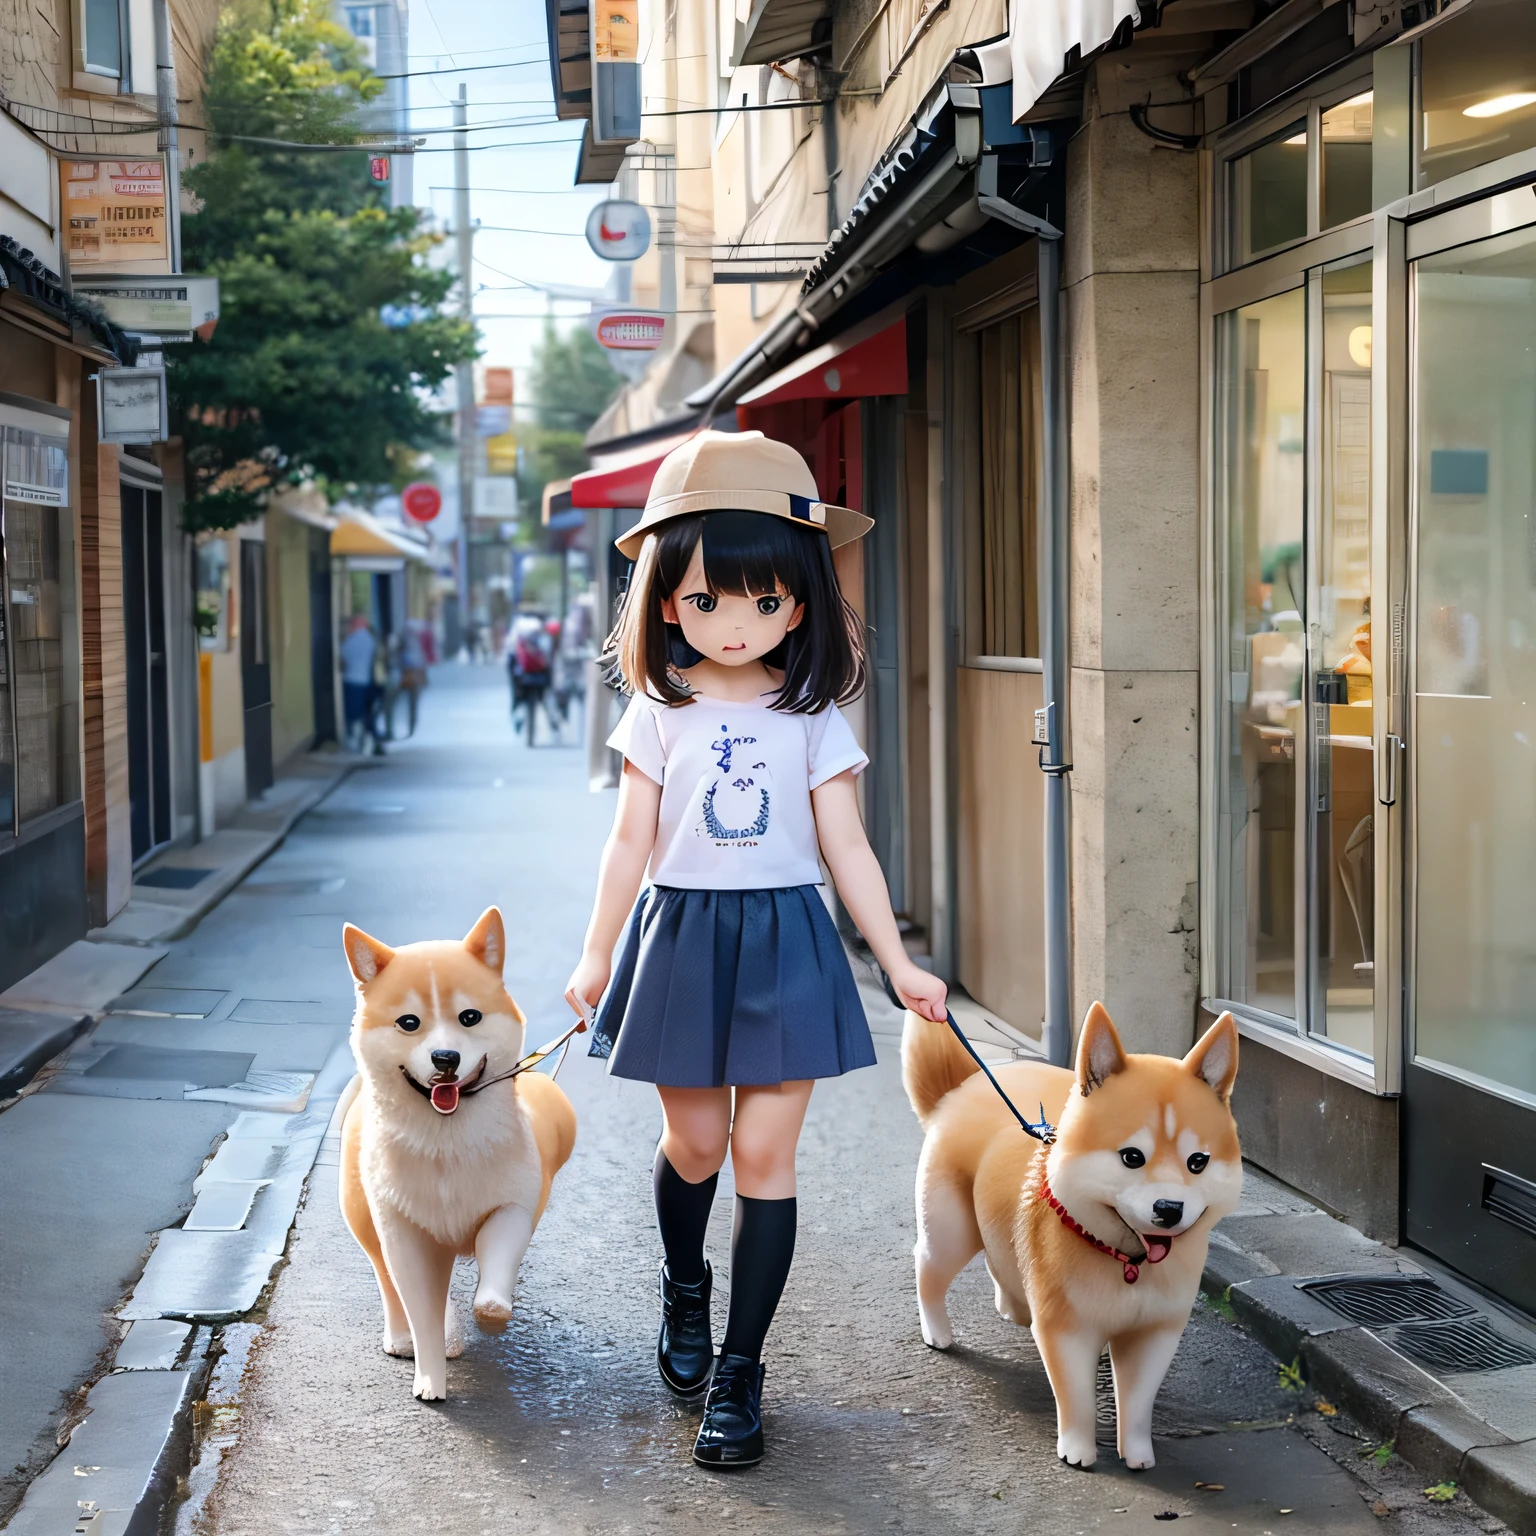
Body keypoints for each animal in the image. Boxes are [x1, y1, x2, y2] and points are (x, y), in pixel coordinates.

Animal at [337, 909, 577, 1406]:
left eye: (470, 1017)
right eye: (409, 1022)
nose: (445, 1057)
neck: (445, 1145)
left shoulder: (513, 1205)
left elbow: (498, 1253)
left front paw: (491, 1311)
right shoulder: (404, 1233)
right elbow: (417, 1303)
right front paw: (430, 1377)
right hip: (367, 1221)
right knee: (386, 1279)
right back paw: (403, 1336)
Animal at [903, 1001, 1241, 1468]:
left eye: (1198, 1162)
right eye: (1131, 1157)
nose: (1169, 1209)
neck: (1126, 1262)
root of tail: (961, 1088)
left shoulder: (1155, 1331)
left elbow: (1138, 1401)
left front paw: (1137, 1453)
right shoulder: (1067, 1329)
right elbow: (1076, 1396)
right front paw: (1078, 1450)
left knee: (1001, 1257)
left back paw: (1013, 1305)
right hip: (950, 1232)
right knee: (928, 1265)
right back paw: (936, 1330)